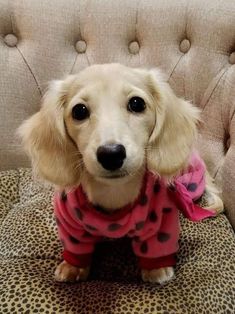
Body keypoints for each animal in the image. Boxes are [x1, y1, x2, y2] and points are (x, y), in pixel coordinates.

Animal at [17, 63, 222, 284]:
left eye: (137, 103)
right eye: (79, 110)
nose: (111, 154)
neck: (114, 193)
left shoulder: (162, 219)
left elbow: (156, 245)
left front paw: (156, 269)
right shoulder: (68, 223)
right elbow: (76, 246)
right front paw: (73, 266)